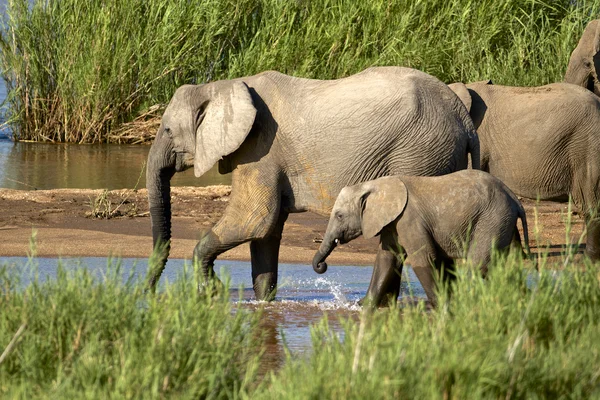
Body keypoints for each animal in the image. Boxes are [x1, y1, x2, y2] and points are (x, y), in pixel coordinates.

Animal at [148, 66, 480, 300]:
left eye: (167, 130)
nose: (147, 291)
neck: (224, 85)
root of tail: (464, 119)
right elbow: (266, 233)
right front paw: (262, 304)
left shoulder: (261, 147)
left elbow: (254, 220)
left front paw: (213, 290)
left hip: (421, 152)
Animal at [312, 170, 528, 306]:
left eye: (339, 216)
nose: (321, 266)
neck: (374, 185)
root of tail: (515, 199)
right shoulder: (393, 222)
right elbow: (386, 259)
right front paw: (363, 305)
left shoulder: (409, 218)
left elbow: (422, 259)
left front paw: (442, 305)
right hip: (503, 221)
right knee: (509, 264)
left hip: (492, 218)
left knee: (479, 265)